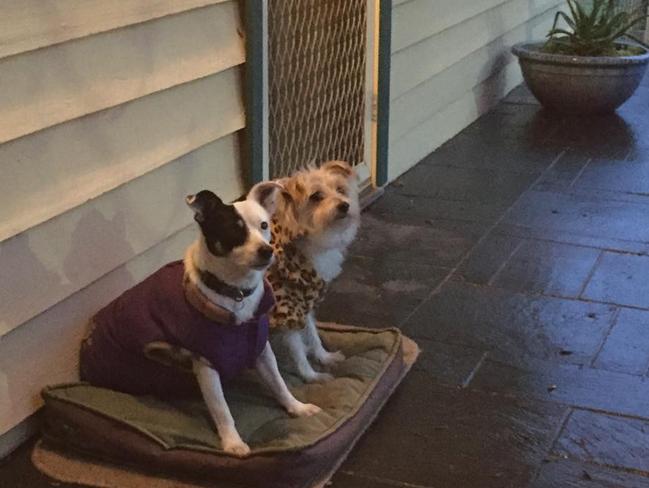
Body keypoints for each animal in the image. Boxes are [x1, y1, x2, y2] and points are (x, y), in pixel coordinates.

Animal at [266, 162, 362, 384]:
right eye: (316, 196)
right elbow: (298, 351)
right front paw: (311, 376)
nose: (344, 205)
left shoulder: (304, 303)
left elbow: (312, 334)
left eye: (340, 189)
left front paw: (324, 357)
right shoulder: (287, 313)